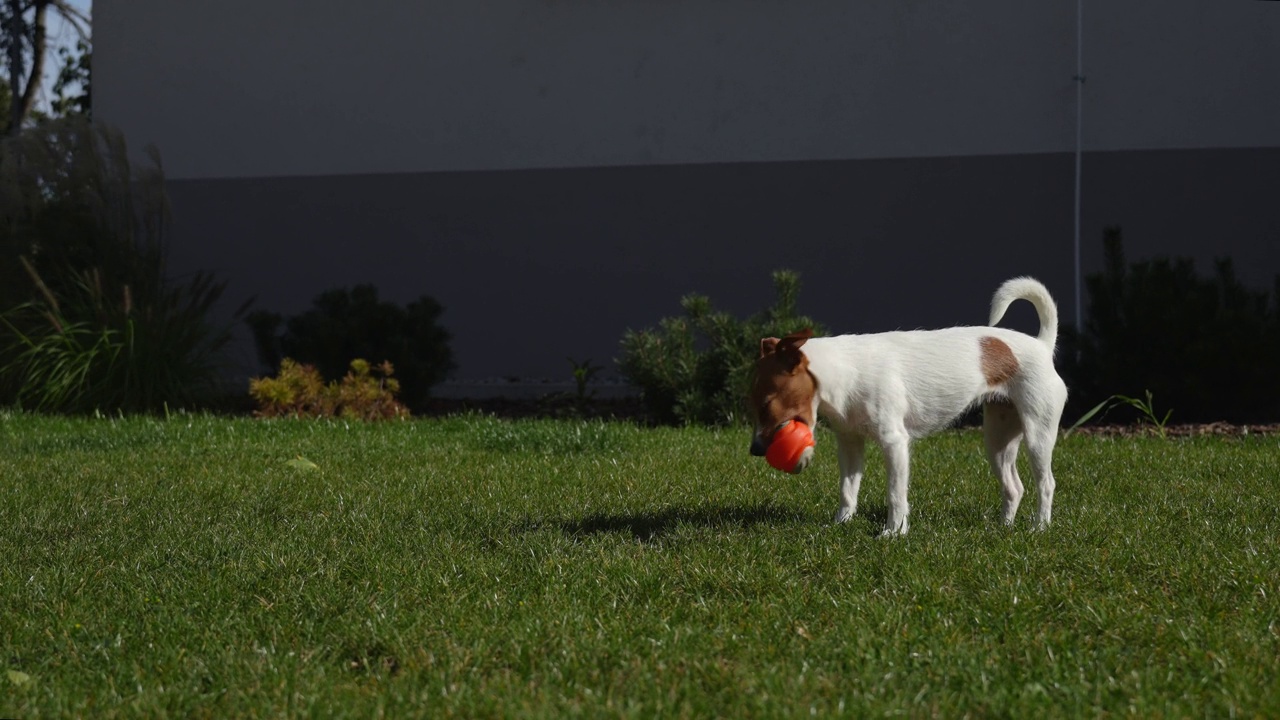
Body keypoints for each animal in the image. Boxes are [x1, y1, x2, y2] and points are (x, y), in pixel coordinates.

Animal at [747, 274, 1070, 532]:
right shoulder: (850, 443)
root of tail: (1042, 345)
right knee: (1014, 487)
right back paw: (1004, 527)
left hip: (1038, 436)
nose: (754, 450)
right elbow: (848, 489)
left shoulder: (895, 443)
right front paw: (841, 524)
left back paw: (1039, 527)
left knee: (1046, 484)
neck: (844, 370)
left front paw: (893, 533)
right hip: (998, 440)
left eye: (767, 403)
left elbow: (895, 494)